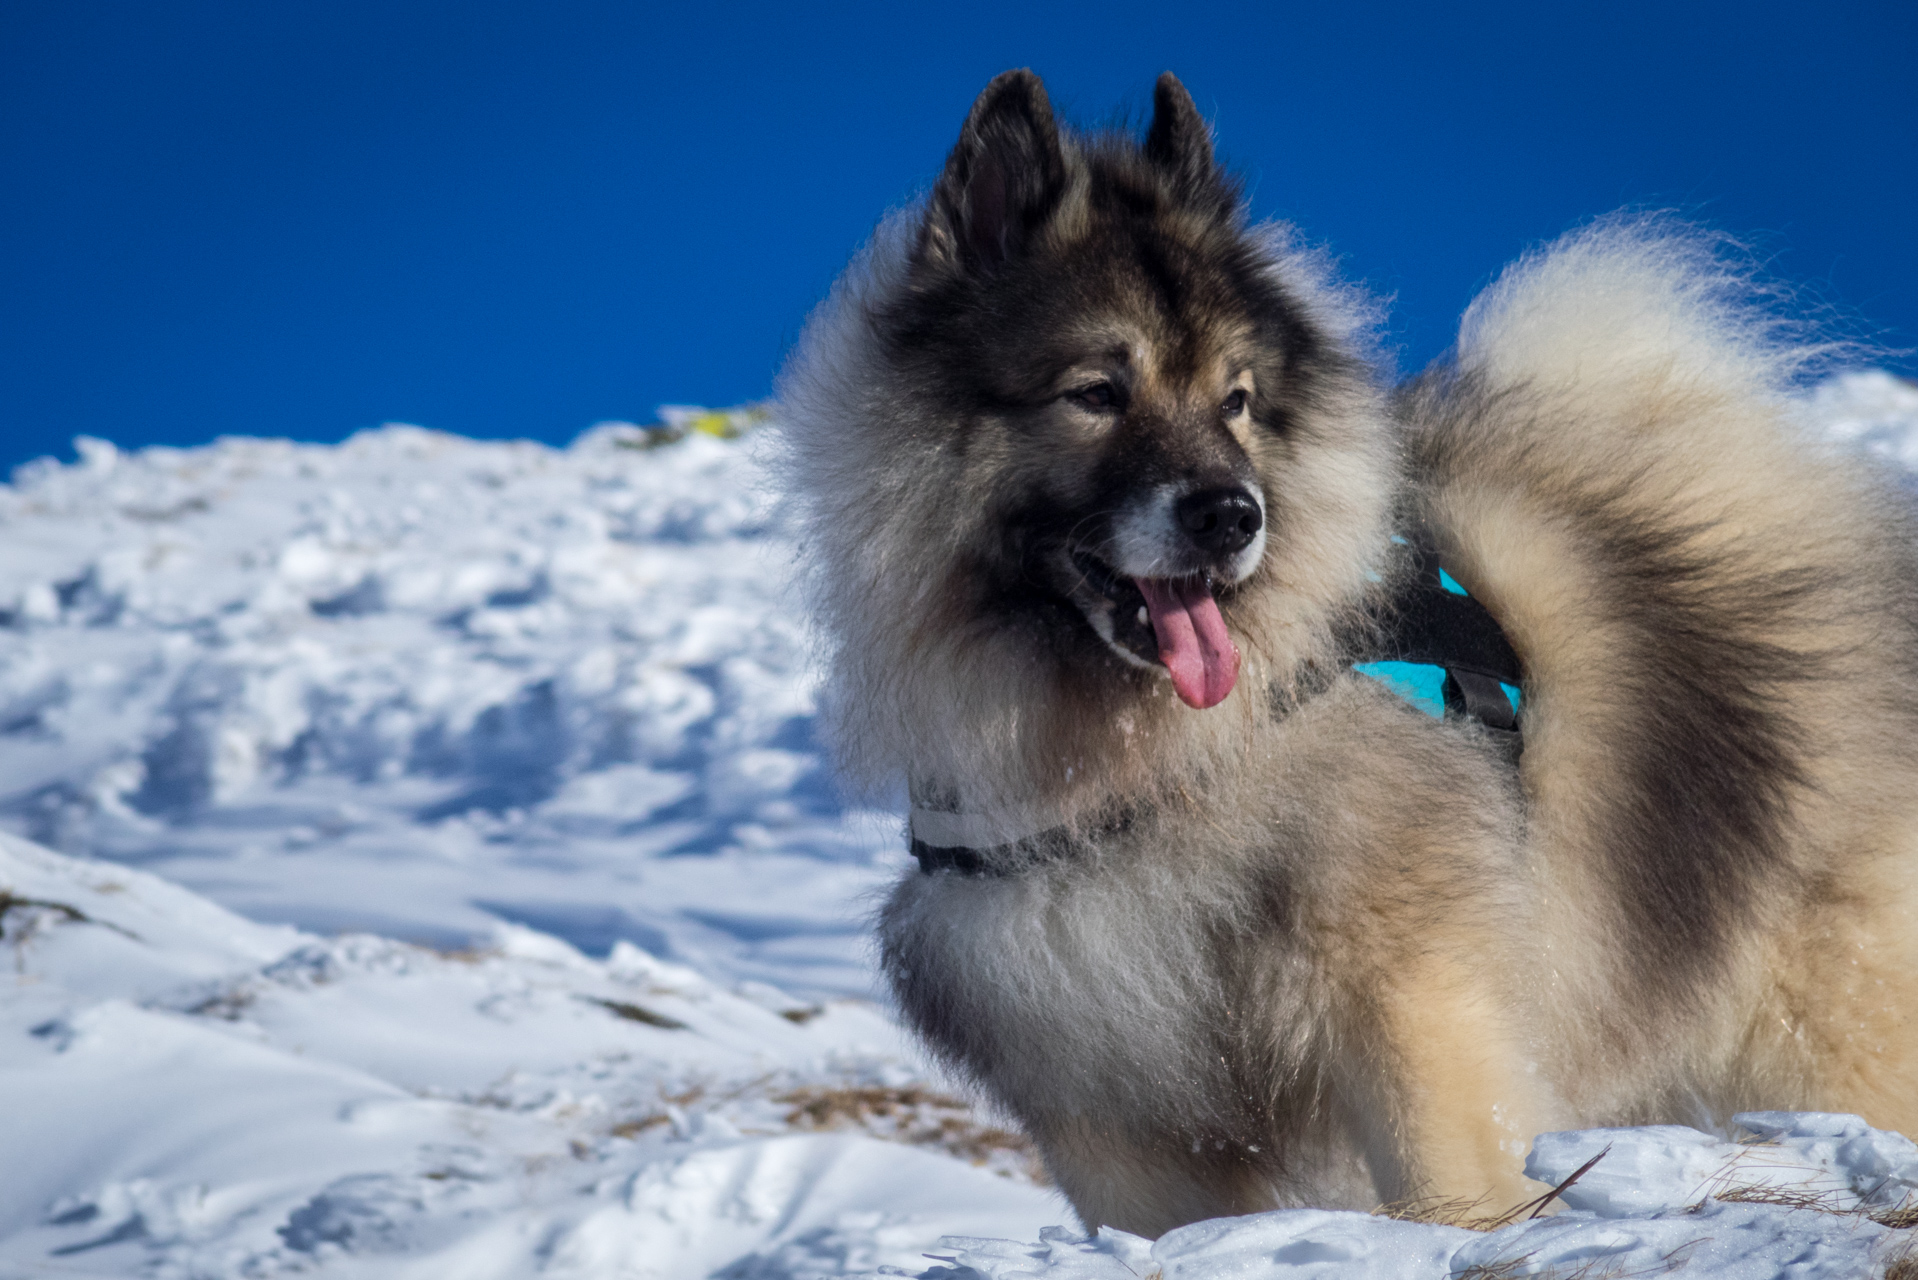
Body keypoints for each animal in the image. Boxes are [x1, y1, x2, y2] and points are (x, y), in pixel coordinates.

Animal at [771, 72, 1918, 1243]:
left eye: (1235, 400)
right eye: (1096, 392)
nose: (1234, 513)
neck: (1151, 763)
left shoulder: (1409, 993)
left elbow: (1448, 1171)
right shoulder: (1107, 1099)